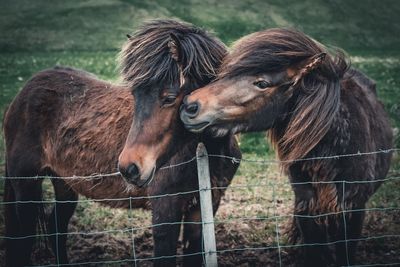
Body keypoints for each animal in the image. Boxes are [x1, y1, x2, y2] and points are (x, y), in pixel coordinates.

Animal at [3, 19, 241, 266]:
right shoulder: (165, 212)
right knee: (24, 238)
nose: (129, 167)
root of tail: (22, 94)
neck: (203, 154)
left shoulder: (202, 209)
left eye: (169, 98)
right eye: (135, 95)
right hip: (26, 186)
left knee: (55, 227)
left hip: (65, 184)